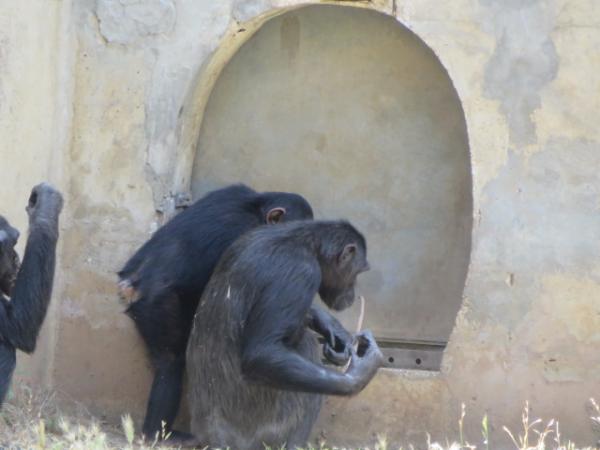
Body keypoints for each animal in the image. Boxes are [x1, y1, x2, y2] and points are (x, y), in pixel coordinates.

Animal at [117, 185, 352, 444]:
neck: (256, 209)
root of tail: (129, 286)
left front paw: (330, 326)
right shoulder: (242, 235)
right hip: (155, 307)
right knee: (170, 362)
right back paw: (158, 433)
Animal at [188, 221, 384, 450]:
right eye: (358, 272)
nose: (354, 292)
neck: (309, 245)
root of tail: (210, 437)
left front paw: (333, 329)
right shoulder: (302, 272)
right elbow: (264, 353)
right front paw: (361, 373)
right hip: (263, 433)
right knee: (307, 346)